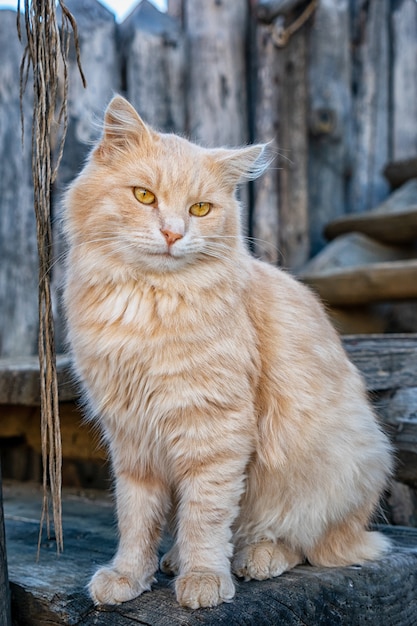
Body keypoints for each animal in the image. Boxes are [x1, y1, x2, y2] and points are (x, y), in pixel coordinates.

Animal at [63, 95, 392, 608]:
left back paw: (257, 556)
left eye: (200, 209)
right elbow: (137, 519)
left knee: (308, 543)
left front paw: (203, 578)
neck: (148, 303)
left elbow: (207, 515)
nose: (173, 233)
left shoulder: (215, 427)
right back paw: (176, 557)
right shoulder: (132, 438)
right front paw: (129, 576)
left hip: (334, 470)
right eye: (144, 196)